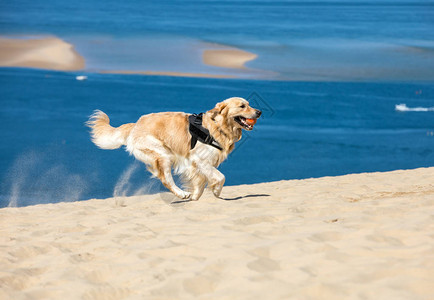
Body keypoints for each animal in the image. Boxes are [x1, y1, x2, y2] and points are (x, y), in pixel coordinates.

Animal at [86, 97, 260, 202]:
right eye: (242, 106)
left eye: (249, 104)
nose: (259, 112)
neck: (218, 126)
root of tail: (136, 124)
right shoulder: (200, 159)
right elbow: (221, 177)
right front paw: (216, 191)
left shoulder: (197, 165)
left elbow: (200, 183)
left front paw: (195, 198)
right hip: (163, 154)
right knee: (166, 179)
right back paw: (181, 193)